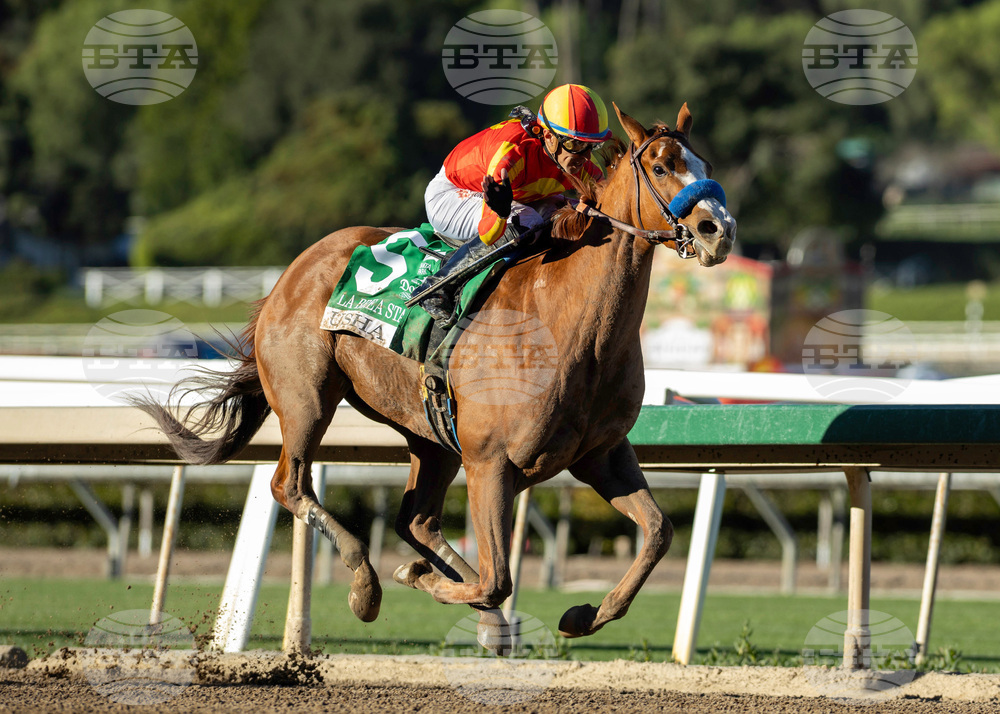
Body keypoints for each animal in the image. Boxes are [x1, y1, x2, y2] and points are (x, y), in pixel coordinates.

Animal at [134, 103, 736, 648]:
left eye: (703, 162)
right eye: (659, 165)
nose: (718, 231)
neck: (570, 326)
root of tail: (291, 273)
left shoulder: (601, 455)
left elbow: (658, 533)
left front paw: (583, 615)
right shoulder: (491, 461)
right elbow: (497, 579)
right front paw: (415, 578)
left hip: (431, 434)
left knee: (416, 521)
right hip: (308, 398)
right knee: (292, 484)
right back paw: (369, 584)